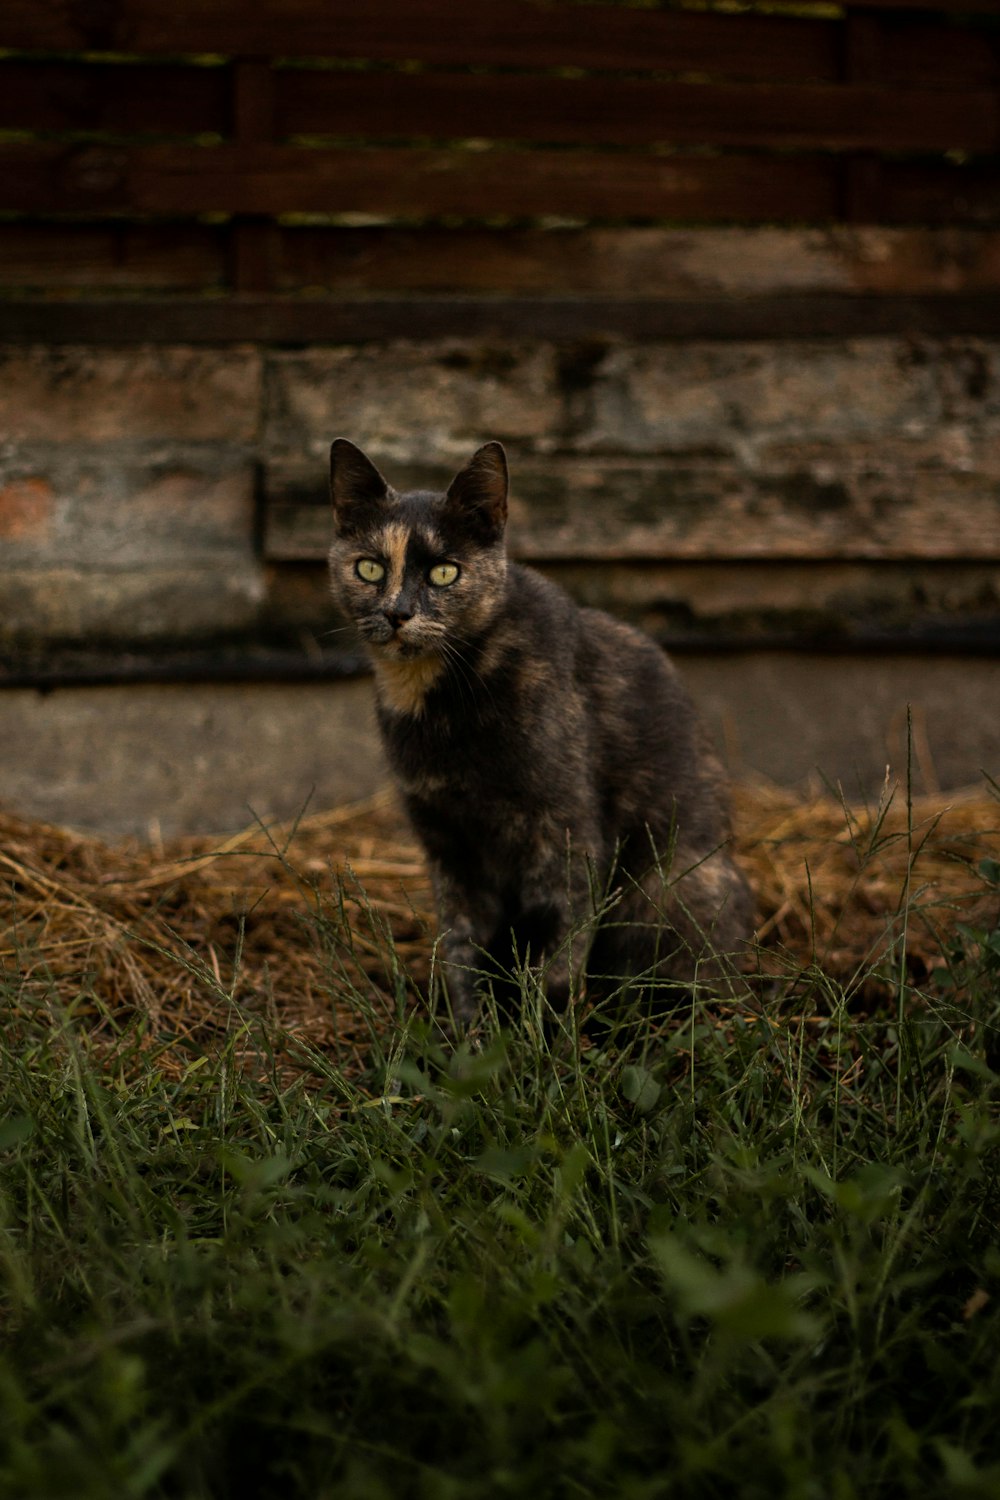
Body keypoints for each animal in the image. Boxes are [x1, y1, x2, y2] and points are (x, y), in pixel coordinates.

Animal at [328, 438, 749, 1032]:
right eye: (368, 567)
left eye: (444, 574)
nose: (397, 612)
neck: (438, 704)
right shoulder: (449, 847)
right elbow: (462, 951)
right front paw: (474, 1038)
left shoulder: (566, 836)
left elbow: (557, 955)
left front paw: (540, 1039)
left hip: (671, 886)